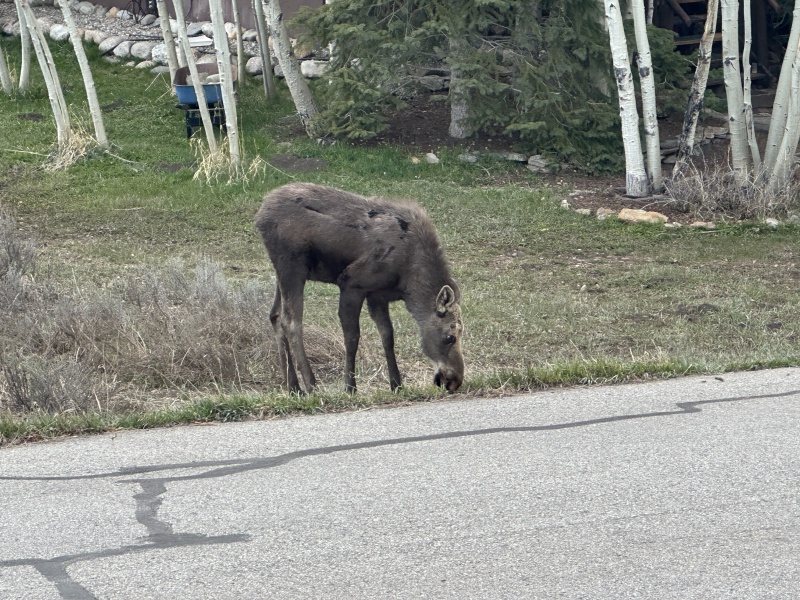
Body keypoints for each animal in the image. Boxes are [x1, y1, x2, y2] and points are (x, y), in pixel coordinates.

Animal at [255, 182, 464, 394]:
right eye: (450, 337)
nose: (455, 380)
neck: (409, 283)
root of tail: (261, 215)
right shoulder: (352, 283)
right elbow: (352, 337)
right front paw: (350, 387)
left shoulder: (378, 295)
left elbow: (388, 336)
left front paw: (396, 384)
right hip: (292, 265)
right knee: (291, 321)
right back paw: (311, 385)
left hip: (282, 273)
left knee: (275, 315)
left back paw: (293, 387)